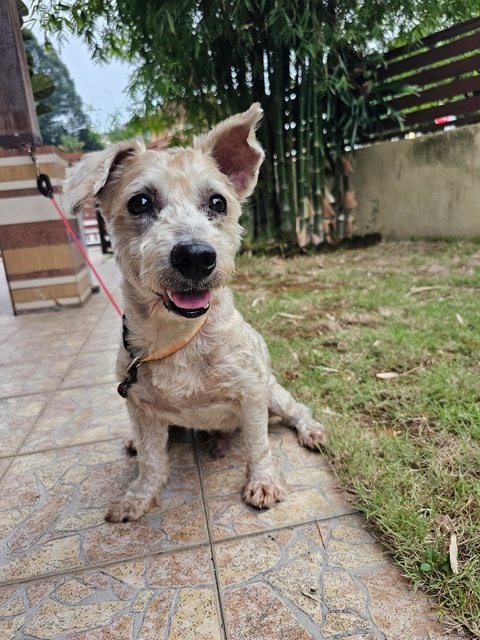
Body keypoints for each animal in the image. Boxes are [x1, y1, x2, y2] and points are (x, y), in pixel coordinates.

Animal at [63, 105, 326, 524]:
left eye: (218, 203)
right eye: (139, 202)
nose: (197, 257)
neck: (178, 336)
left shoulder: (252, 393)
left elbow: (258, 445)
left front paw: (263, 481)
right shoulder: (139, 405)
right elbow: (151, 460)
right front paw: (139, 496)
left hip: (274, 392)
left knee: (295, 409)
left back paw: (306, 430)